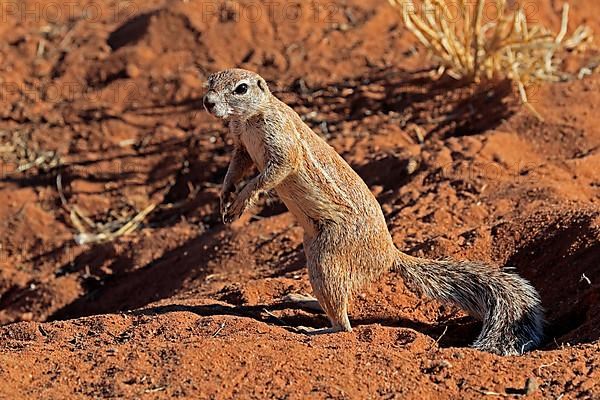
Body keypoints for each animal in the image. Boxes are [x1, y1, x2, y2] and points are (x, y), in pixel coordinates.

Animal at [202, 69, 544, 356]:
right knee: (337, 299)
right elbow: (236, 169)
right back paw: (303, 299)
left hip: (327, 256)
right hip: (313, 250)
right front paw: (225, 198)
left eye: (241, 88)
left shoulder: (281, 145)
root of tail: (390, 253)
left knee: (345, 325)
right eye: (210, 81)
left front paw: (241, 202)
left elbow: (270, 174)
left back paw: (314, 329)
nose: (208, 102)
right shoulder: (241, 147)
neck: (249, 119)